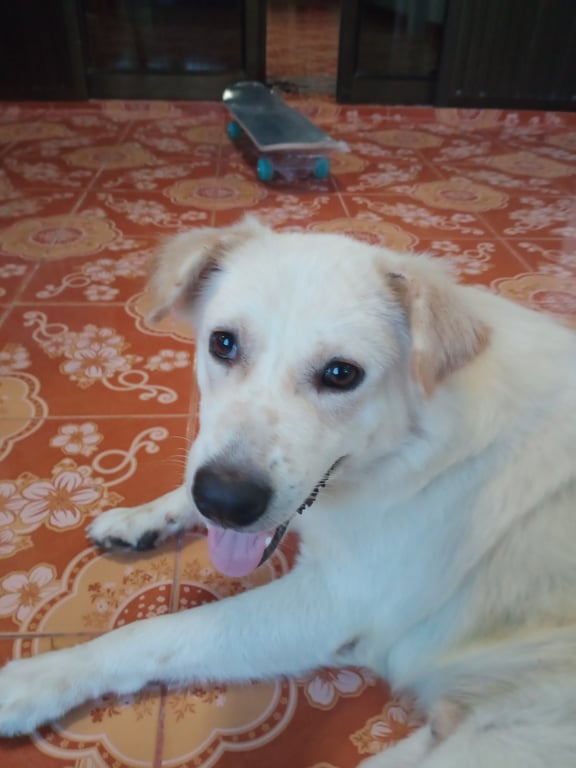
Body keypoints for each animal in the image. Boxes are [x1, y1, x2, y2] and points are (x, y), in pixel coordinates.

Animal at [1, 217, 576, 767]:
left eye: (342, 374)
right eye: (223, 342)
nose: (225, 502)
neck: (408, 456)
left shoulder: (330, 604)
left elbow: (152, 635)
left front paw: (37, 679)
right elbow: (185, 488)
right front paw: (140, 517)